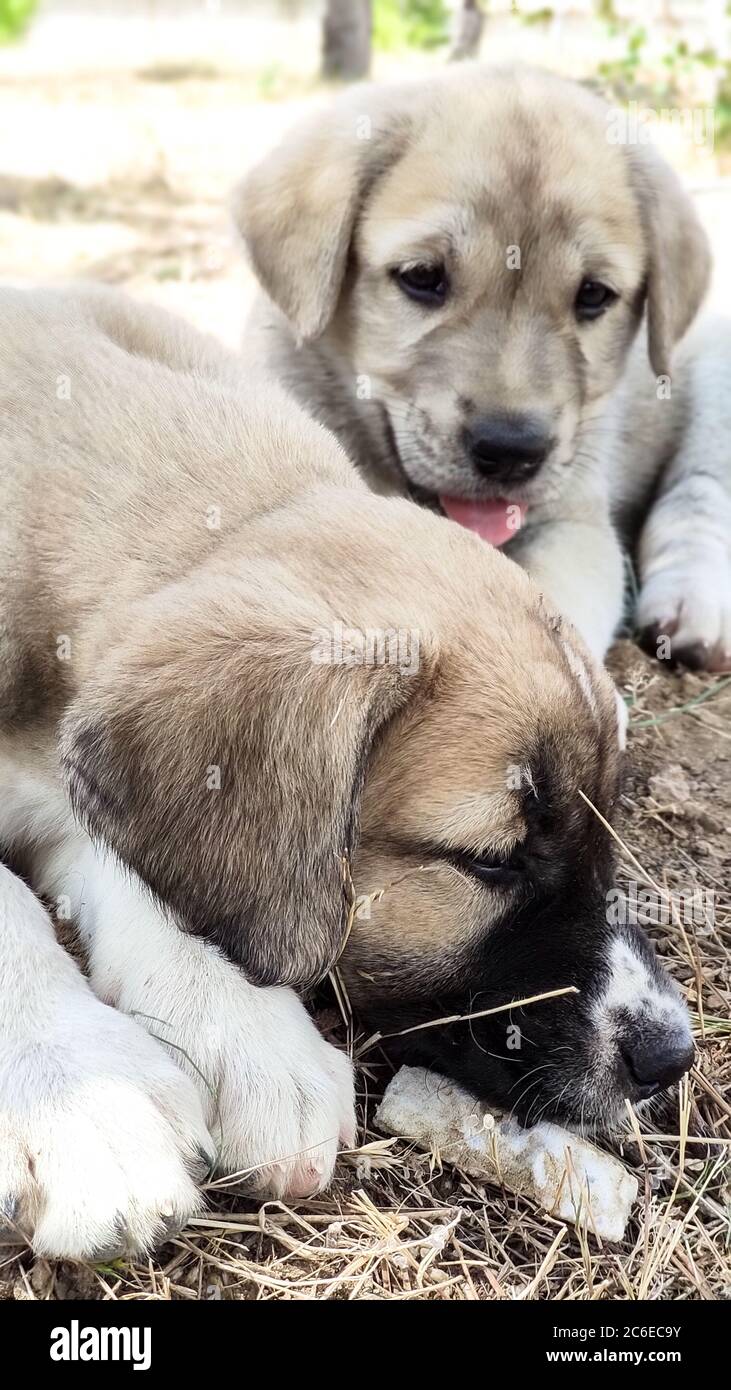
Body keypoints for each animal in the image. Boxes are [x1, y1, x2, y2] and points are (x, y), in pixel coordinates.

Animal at [0, 282, 697, 1262]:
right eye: (489, 862)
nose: (672, 1057)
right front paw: (86, 1103)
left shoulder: (70, 777)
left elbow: (137, 868)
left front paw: (246, 1033)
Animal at [234, 63, 731, 667]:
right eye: (422, 277)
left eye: (593, 295)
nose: (512, 451)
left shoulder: (573, 520)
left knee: (699, 493)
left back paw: (692, 605)